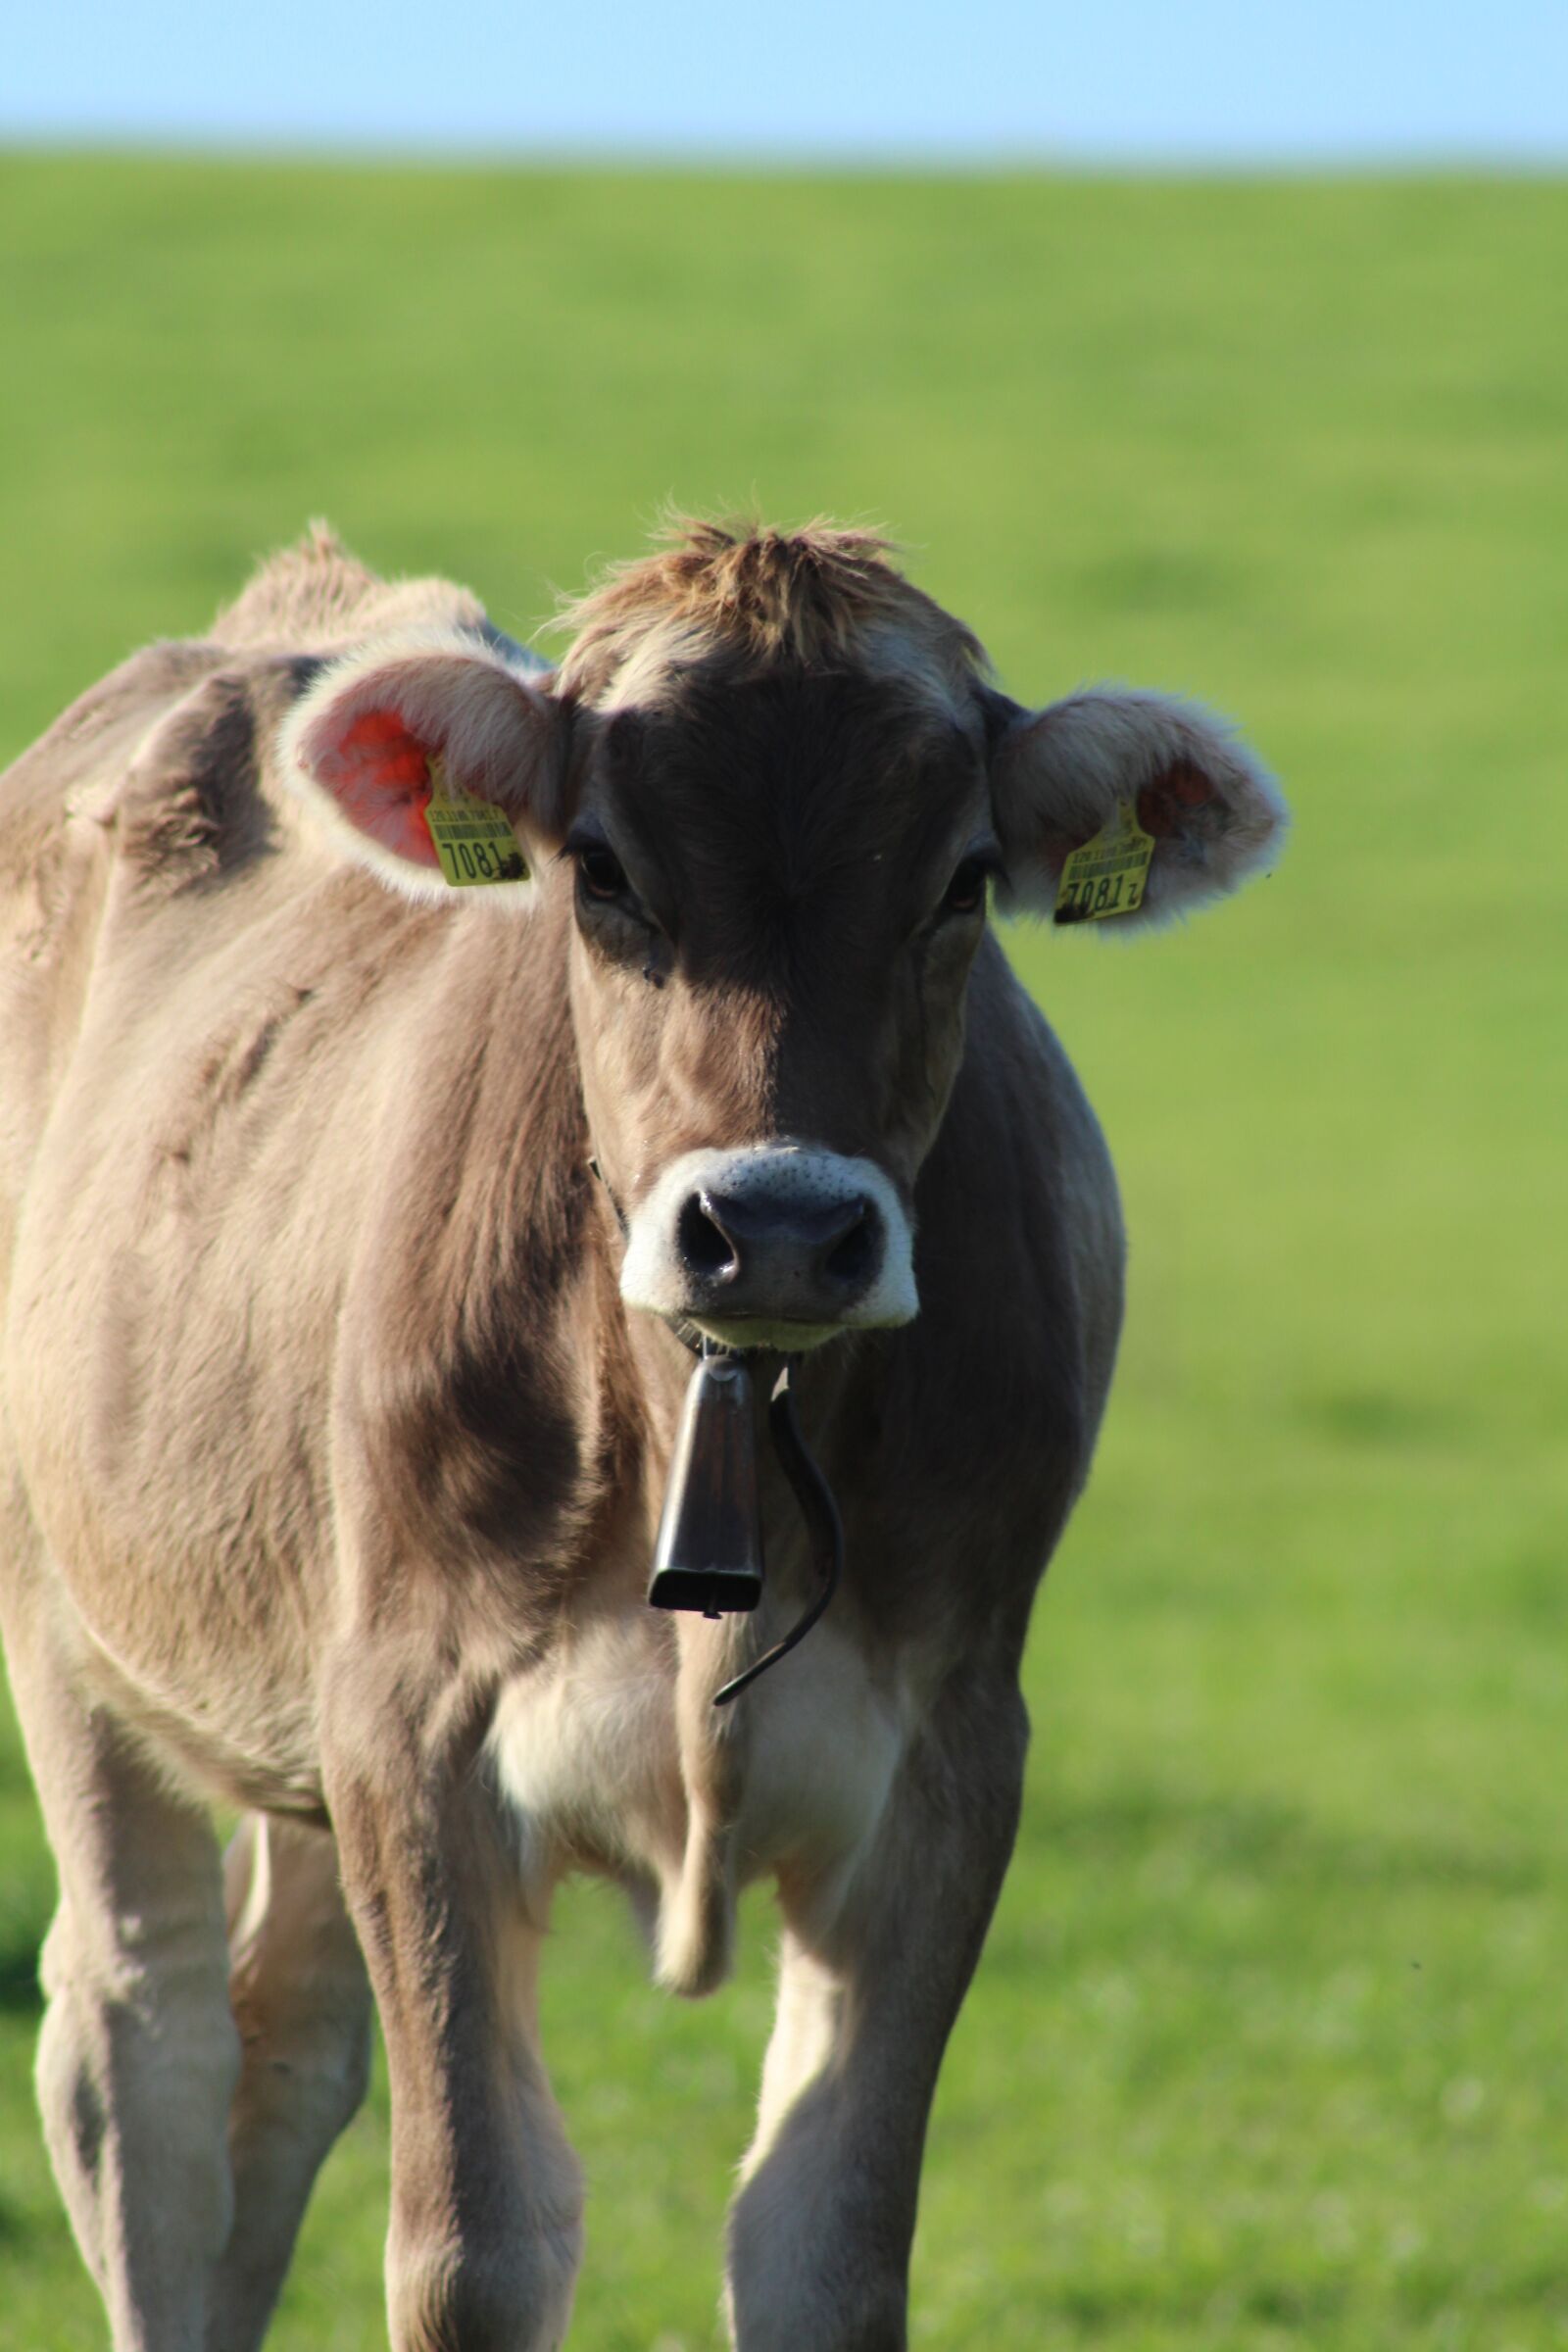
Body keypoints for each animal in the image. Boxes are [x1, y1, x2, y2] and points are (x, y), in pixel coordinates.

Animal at [0, 521, 1284, 2352]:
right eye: (599, 870)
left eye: (964, 879)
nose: (780, 1229)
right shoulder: (417, 1726)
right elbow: (474, 2251)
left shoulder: (951, 1755)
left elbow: (826, 2251)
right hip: (71, 1615)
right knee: (138, 2052)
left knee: (279, 2050)